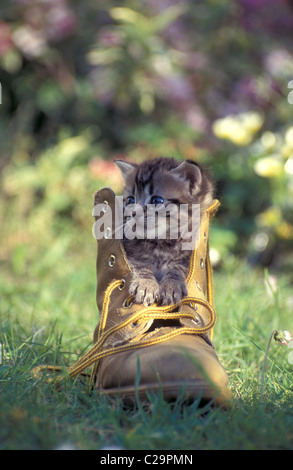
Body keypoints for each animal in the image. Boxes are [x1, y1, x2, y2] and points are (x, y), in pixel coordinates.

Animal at [114, 156, 214, 306]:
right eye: (131, 200)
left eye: (157, 200)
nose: (133, 213)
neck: (161, 244)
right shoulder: (130, 253)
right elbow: (139, 265)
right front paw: (145, 285)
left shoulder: (188, 256)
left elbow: (179, 267)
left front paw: (171, 286)